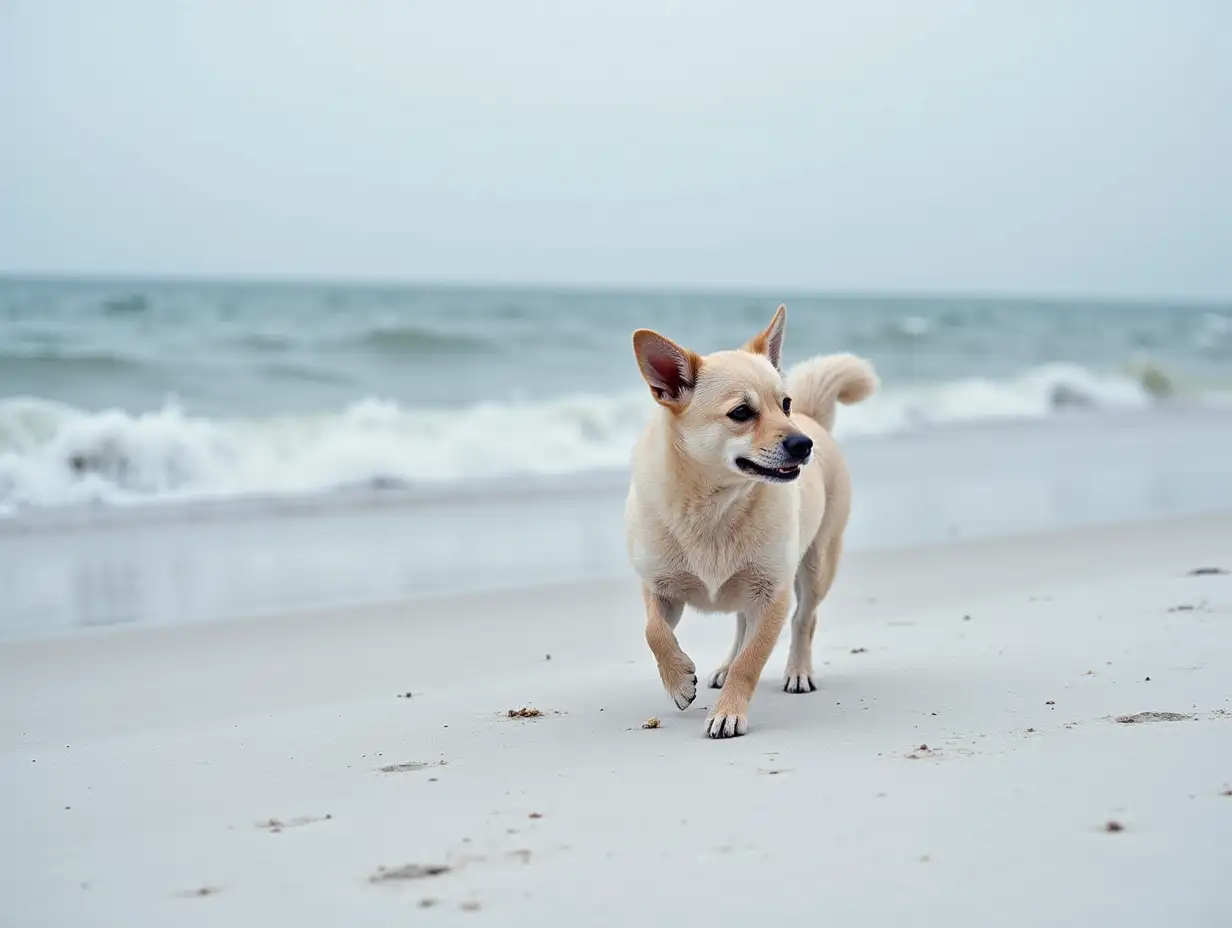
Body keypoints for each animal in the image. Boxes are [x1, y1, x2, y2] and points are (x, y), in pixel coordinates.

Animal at [625, 304, 877, 739]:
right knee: (742, 625)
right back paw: (723, 668)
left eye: (785, 404)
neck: (714, 507)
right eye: (741, 413)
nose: (803, 443)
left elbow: (752, 659)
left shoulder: (773, 595)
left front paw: (728, 712)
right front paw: (678, 681)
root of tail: (815, 419)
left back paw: (798, 671)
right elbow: (653, 631)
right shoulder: (660, 590)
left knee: (804, 620)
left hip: (815, 567)